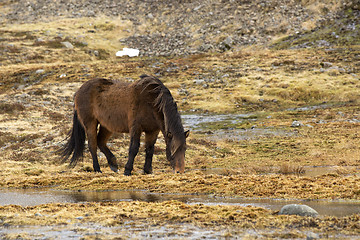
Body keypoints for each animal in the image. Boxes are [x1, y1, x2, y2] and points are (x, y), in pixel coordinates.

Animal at [58, 74, 188, 175]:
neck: (151, 102)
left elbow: (150, 149)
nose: (179, 171)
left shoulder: (152, 131)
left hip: (107, 126)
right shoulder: (136, 128)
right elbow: (134, 148)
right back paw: (97, 169)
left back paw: (114, 165)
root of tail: (78, 91)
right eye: (173, 149)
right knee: (92, 145)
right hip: (90, 124)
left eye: (185, 149)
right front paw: (127, 170)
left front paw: (147, 170)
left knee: (101, 142)